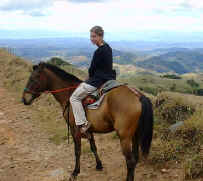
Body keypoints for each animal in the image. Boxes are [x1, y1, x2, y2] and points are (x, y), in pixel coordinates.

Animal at [21, 61, 153, 180]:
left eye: (33, 78)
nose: (24, 99)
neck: (69, 95)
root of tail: (138, 95)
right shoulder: (88, 129)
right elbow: (93, 147)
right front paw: (99, 165)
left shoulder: (75, 130)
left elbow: (77, 151)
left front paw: (75, 172)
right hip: (135, 135)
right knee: (135, 158)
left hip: (124, 137)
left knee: (130, 161)